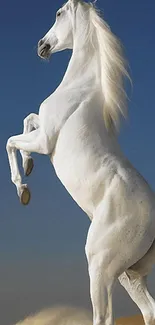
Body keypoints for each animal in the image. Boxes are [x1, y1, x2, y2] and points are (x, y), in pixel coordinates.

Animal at [6, 0, 155, 324]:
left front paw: (23, 189)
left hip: (100, 268)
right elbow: (28, 119)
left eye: (59, 13)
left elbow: (10, 140)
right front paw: (29, 167)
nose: (42, 46)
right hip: (128, 274)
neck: (81, 88)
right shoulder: (41, 130)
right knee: (149, 310)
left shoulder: (44, 141)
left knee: (104, 317)